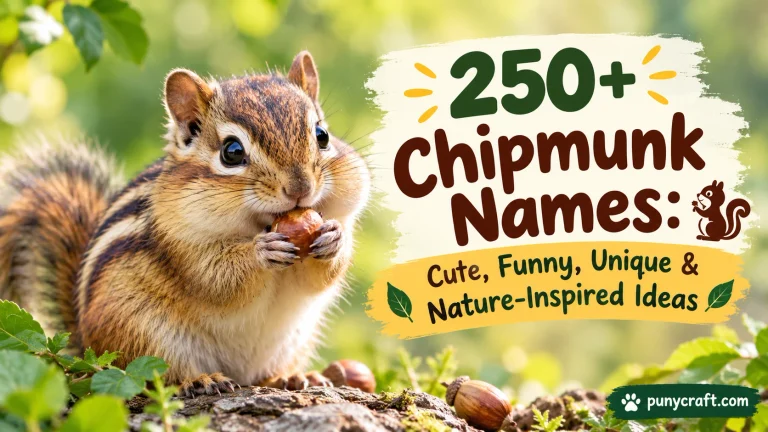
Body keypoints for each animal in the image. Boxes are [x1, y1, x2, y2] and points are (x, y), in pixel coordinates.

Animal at [0, 51, 370, 396]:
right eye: (232, 152)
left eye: (322, 135)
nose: (300, 189)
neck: (258, 224)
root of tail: (85, 343)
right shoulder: (181, 243)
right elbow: (216, 278)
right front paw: (261, 252)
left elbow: (320, 276)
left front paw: (334, 238)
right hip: (144, 335)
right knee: (159, 376)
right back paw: (201, 379)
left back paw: (292, 376)